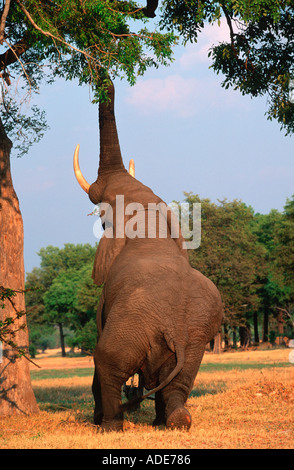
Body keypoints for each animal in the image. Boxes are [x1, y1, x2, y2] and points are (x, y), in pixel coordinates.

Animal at [73, 81, 223, 434]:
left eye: (103, 222)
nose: (106, 80)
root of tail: (175, 328)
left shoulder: (105, 301)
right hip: (196, 338)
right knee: (179, 382)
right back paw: (174, 422)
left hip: (133, 326)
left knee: (108, 362)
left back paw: (109, 427)